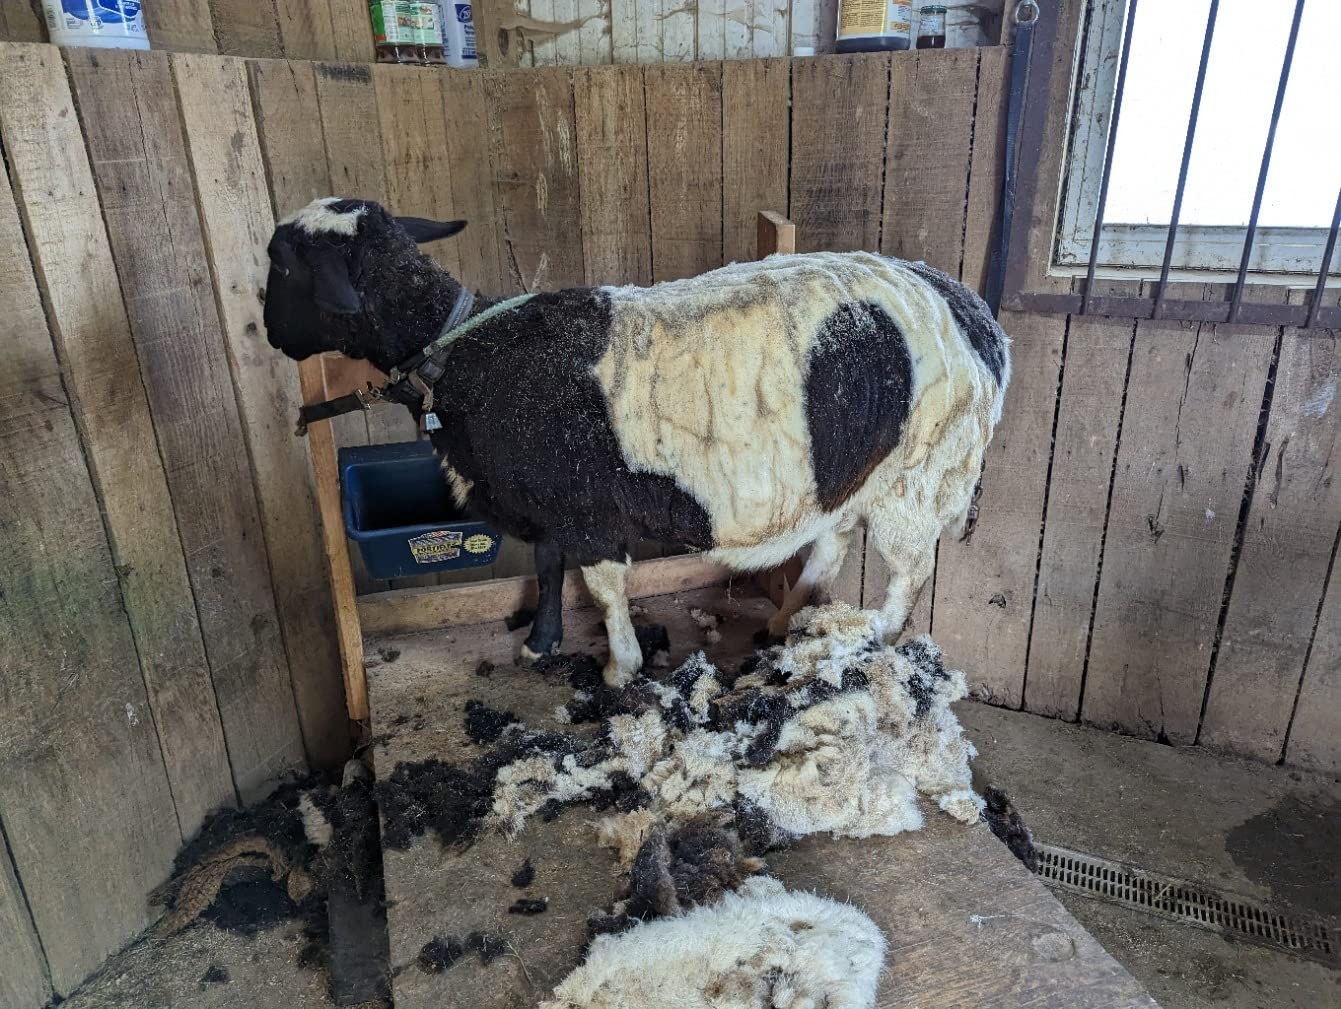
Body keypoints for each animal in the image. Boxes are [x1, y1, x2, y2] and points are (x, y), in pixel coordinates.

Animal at [263, 197, 1011, 686]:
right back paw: (781, 622)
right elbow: (548, 565)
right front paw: (539, 644)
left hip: (923, 469)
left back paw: (877, 635)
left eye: (281, 263)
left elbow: (601, 587)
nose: (269, 333)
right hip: (856, 473)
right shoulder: (552, 501)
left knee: (908, 570)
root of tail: (966, 305)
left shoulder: (586, 509)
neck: (468, 353)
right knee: (832, 542)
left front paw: (619, 666)